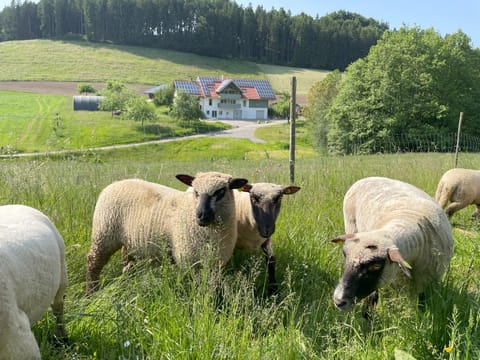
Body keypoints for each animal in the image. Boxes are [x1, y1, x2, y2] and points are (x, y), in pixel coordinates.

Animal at [86, 172, 249, 296]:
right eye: (196, 192)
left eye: (220, 191)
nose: (201, 216)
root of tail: (114, 184)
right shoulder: (188, 260)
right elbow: (197, 286)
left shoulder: (215, 263)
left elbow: (212, 285)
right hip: (104, 233)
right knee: (93, 262)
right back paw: (91, 292)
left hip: (129, 240)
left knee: (127, 260)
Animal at [330, 176, 454, 316]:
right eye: (345, 256)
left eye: (376, 266)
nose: (338, 301)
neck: (405, 220)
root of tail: (370, 177)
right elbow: (373, 296)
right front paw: (367, 315)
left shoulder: (427, 282)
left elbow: (422, 305)